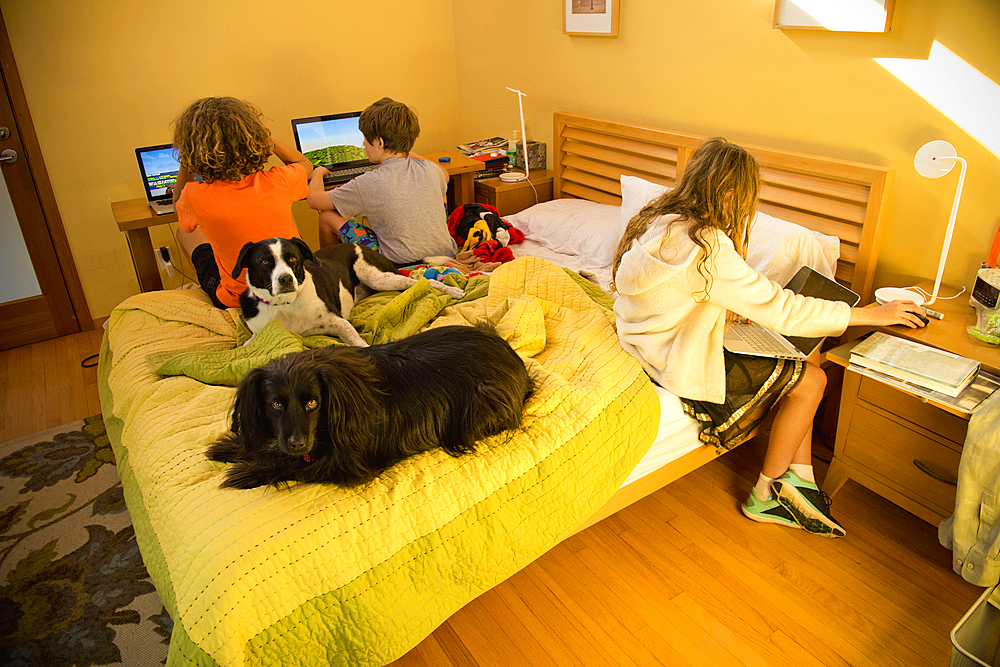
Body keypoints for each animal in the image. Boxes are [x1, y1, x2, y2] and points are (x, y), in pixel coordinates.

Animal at [207, 324, 536, 490]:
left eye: (313, 403)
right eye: (276, 404)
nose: (298, 443)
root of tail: (510, 352)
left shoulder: (346, 464)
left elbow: (293, 465)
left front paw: (247, 472)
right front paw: (229, 448)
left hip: (482, 402)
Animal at [232, 237, 466, 348]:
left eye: (292, 258)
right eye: (265, 262)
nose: (286, 279)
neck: (286, 304)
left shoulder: (339, 323)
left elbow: (358, 343)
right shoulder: (258, 334)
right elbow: (245, 345)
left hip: (378, 278)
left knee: (424, 281)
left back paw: (453, 290)